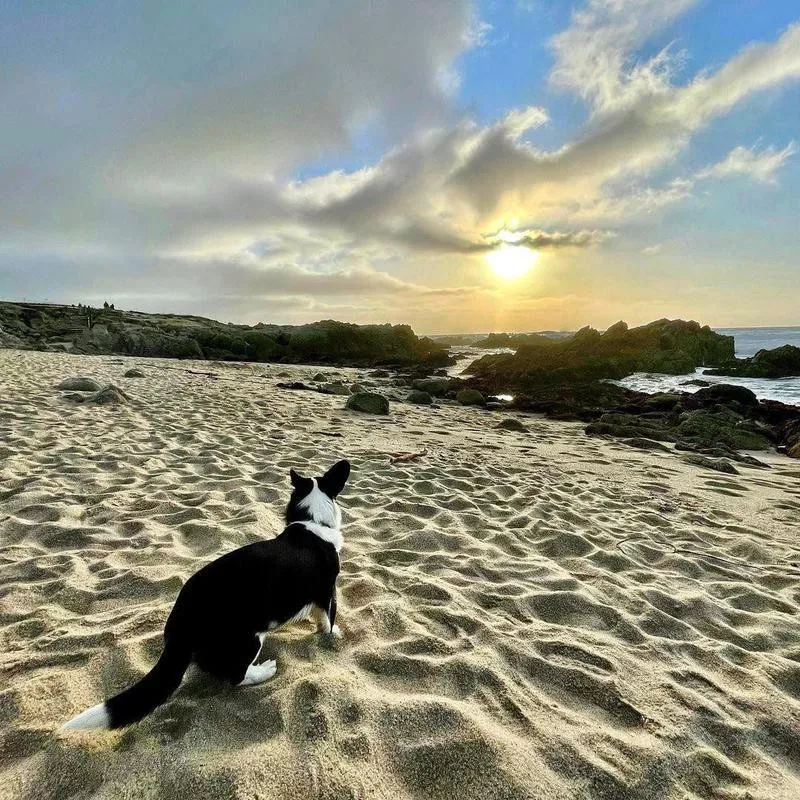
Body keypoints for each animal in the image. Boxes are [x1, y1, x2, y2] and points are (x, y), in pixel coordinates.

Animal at [62, 460, 350, 728]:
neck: (311, 522)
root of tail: (180, 625)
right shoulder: (328, 591)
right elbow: (328, 619)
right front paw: (333, 635)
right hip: (249, 639)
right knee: (236, 675)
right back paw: (264, 671)